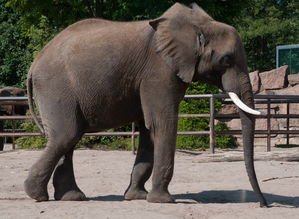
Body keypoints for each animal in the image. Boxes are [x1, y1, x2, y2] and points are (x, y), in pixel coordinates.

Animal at [24, 2, 268, 207]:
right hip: (56, 87)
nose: (264, 204)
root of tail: (34, 64)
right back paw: (36, 195)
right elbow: (162, 123)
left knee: (69, 138)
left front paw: (137, 197)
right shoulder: (159, 70)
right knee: (66, 135)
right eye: (226, 60)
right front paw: (164, 201)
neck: (197, 24)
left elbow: (149, 129)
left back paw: (71, 197)